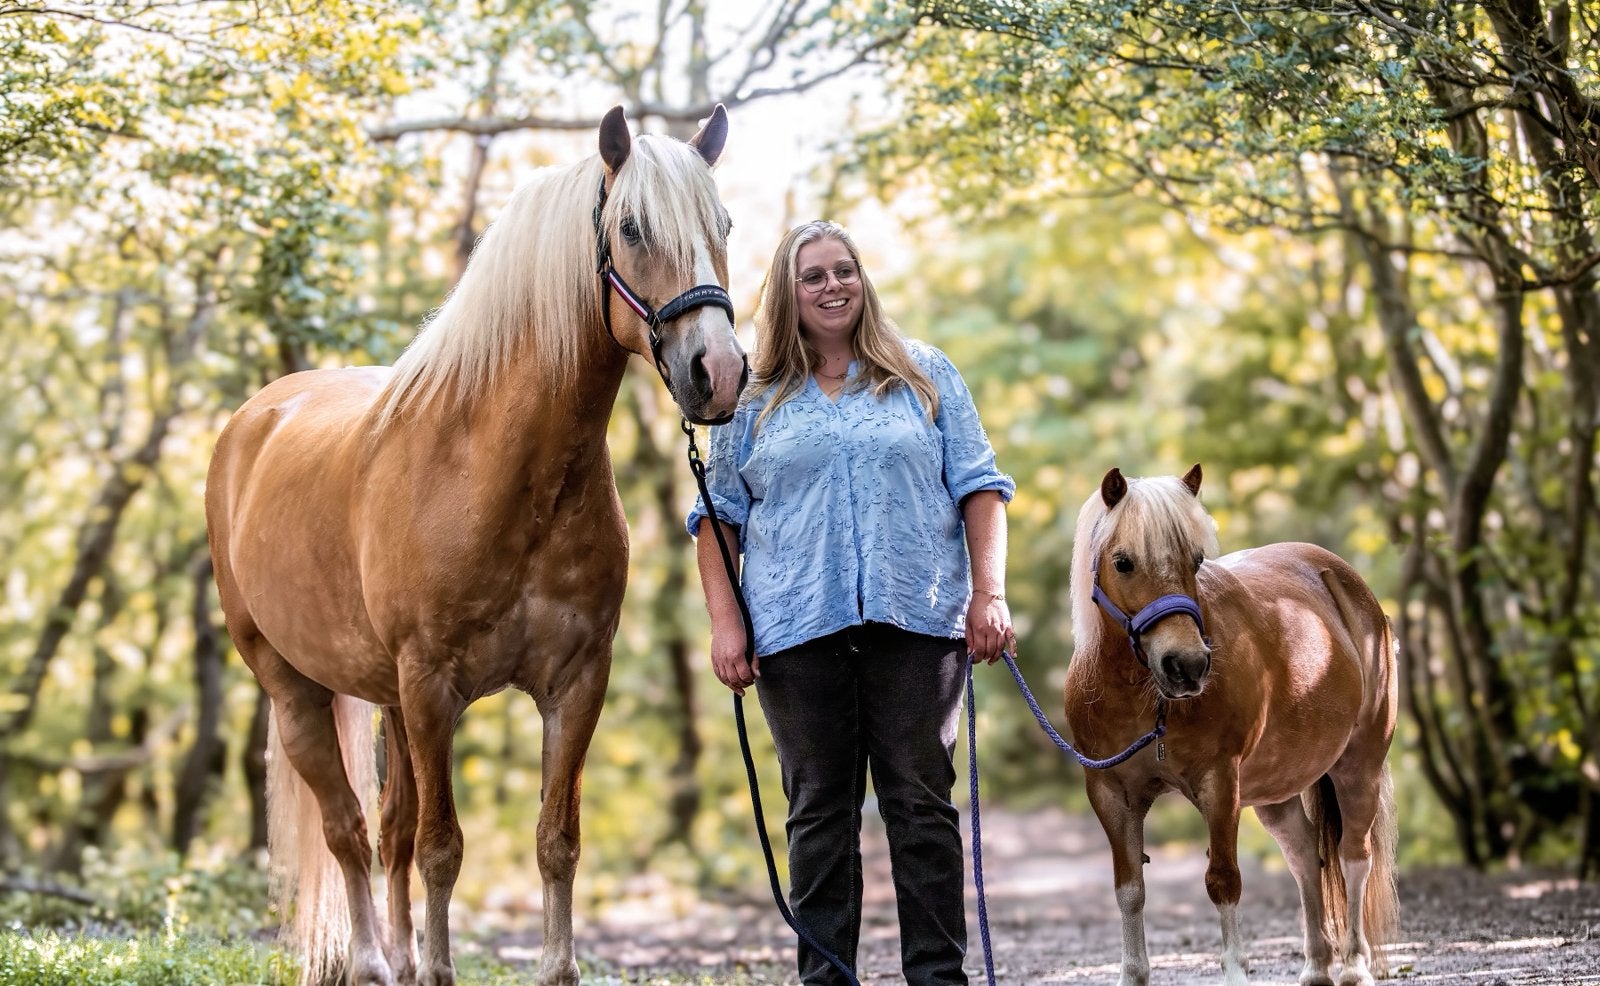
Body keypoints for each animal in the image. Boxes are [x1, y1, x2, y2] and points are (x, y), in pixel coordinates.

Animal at [205, 105, 746, 986]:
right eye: (632, 227)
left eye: (723, 223)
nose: (720, 371)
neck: (499, 472)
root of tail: (255, 420)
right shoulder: (431, 688)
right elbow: (442, 850)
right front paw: (434, 966)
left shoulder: (575, 683)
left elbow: (555, 841)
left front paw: (552, 968)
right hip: (295, 691)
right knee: (350, 831)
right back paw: (372, 962)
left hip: (385, 699)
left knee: (389, 831)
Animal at [1063, 465, 1398, 986]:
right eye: (1123, 562)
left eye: (1196, 559)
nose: (1186, 665)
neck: (1143, 697)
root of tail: (1344, 580)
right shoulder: (1110, 793)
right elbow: (1130, 889)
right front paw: (1133, 974)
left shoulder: (1219, 784)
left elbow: (1223, 882)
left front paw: (1236, 972)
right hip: (1276, 789)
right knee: (1306, 857)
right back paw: (1316, 965)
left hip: (1357, 766)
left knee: (1352, 858)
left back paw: (1353, 965)